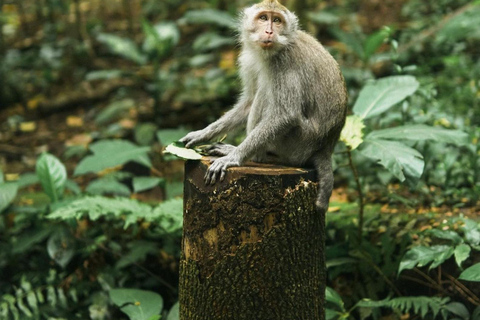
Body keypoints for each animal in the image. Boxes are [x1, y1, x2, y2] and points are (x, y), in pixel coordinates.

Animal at [182, 0, 346, 212]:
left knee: (265, 96)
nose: (269, 31)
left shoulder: (284, 62)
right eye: (263, 18)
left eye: (277, 20)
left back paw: (258, 157)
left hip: (297, 143)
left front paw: (234, 157)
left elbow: (286, 115)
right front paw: (202, 133)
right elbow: (248, 101)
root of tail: (325, 148)